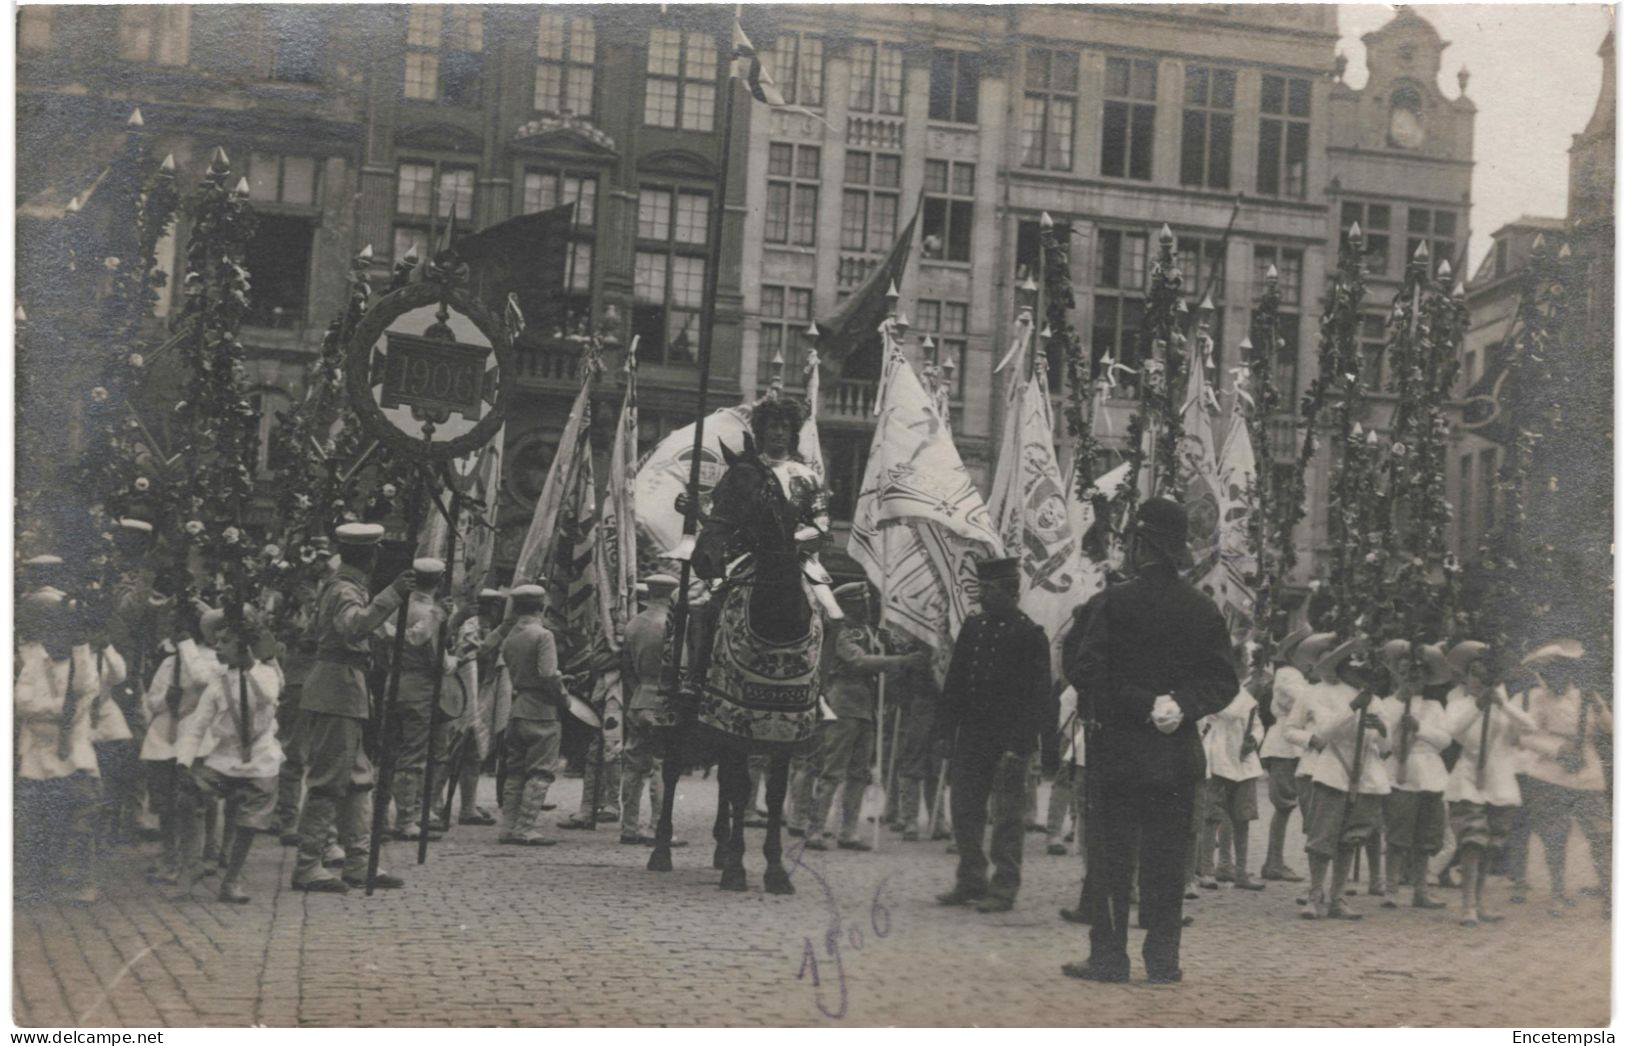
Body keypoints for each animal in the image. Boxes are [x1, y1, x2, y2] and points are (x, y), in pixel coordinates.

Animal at [646, 432, 825, 890]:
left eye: (752, 495)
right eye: (719, 492)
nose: (705, 559)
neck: (777, 621)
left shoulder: (784, 727)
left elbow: (771, 794)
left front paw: (775, 870)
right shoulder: (731, 717)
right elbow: (741, 787)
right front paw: (737, 870)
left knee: (727, 785)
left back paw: (721, 848)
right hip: (680, 710)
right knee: (674, 770)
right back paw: (662, 852)